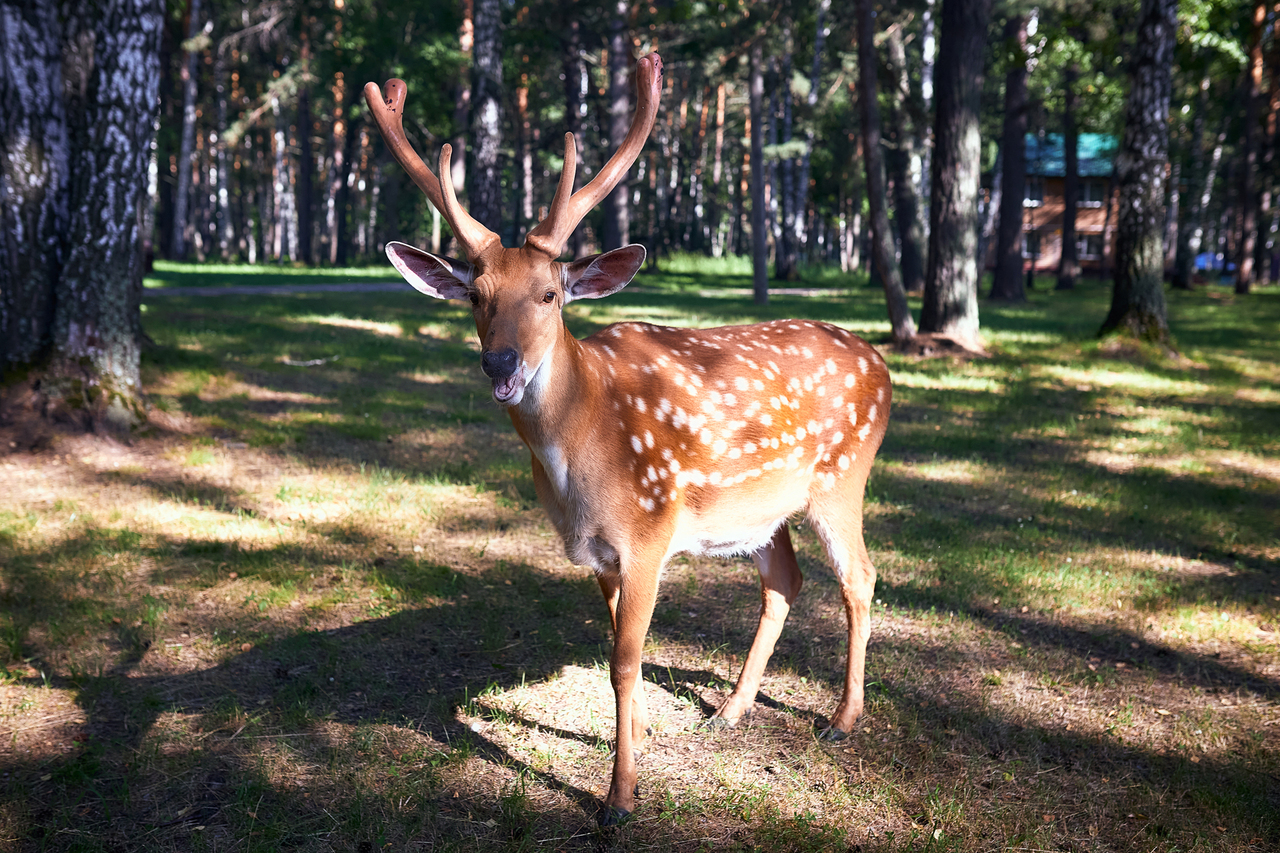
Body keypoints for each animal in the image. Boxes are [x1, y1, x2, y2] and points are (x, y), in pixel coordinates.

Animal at [366, 49, 890, 819]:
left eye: (550, 293)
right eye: (476, 296)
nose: (501, 362)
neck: (581, 453)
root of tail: (882, 364)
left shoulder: (648, 533)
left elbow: (622, 659)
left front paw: (620, 794)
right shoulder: (597, 552)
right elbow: (619, 649)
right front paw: (640, 734)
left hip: (843, 475)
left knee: (859, 577)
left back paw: (842, 720)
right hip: (761, 511)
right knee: (784, 581)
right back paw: (730, 711)